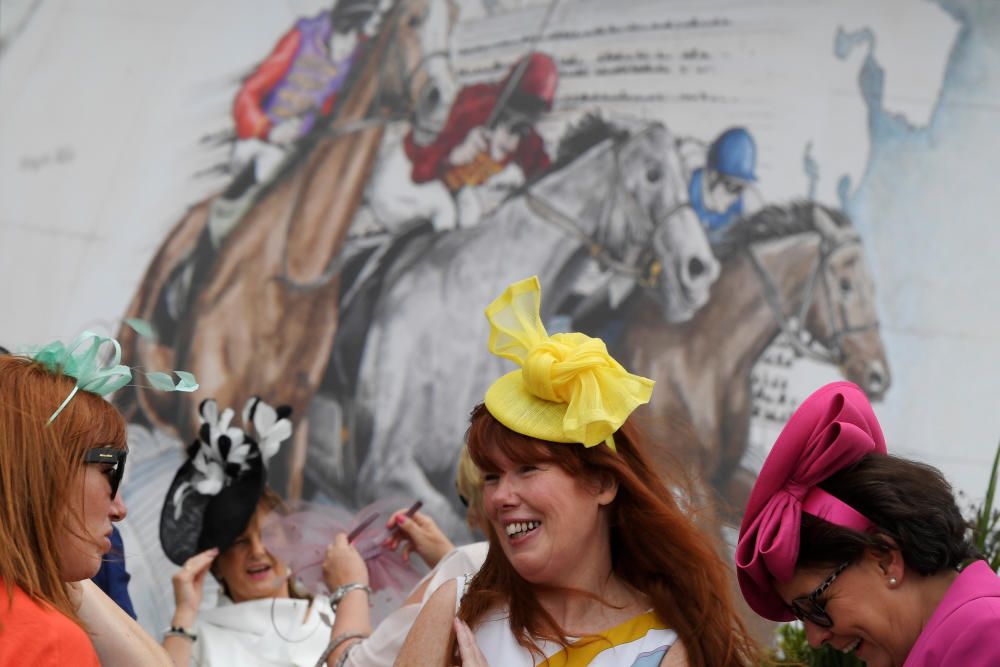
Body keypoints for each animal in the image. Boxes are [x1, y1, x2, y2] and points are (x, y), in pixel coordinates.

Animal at [116, 0, 458, 496]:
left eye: (454, 22)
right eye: (413, 20)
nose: (441, 98)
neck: (289, 270)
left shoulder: (289, 437)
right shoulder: (208, 418)